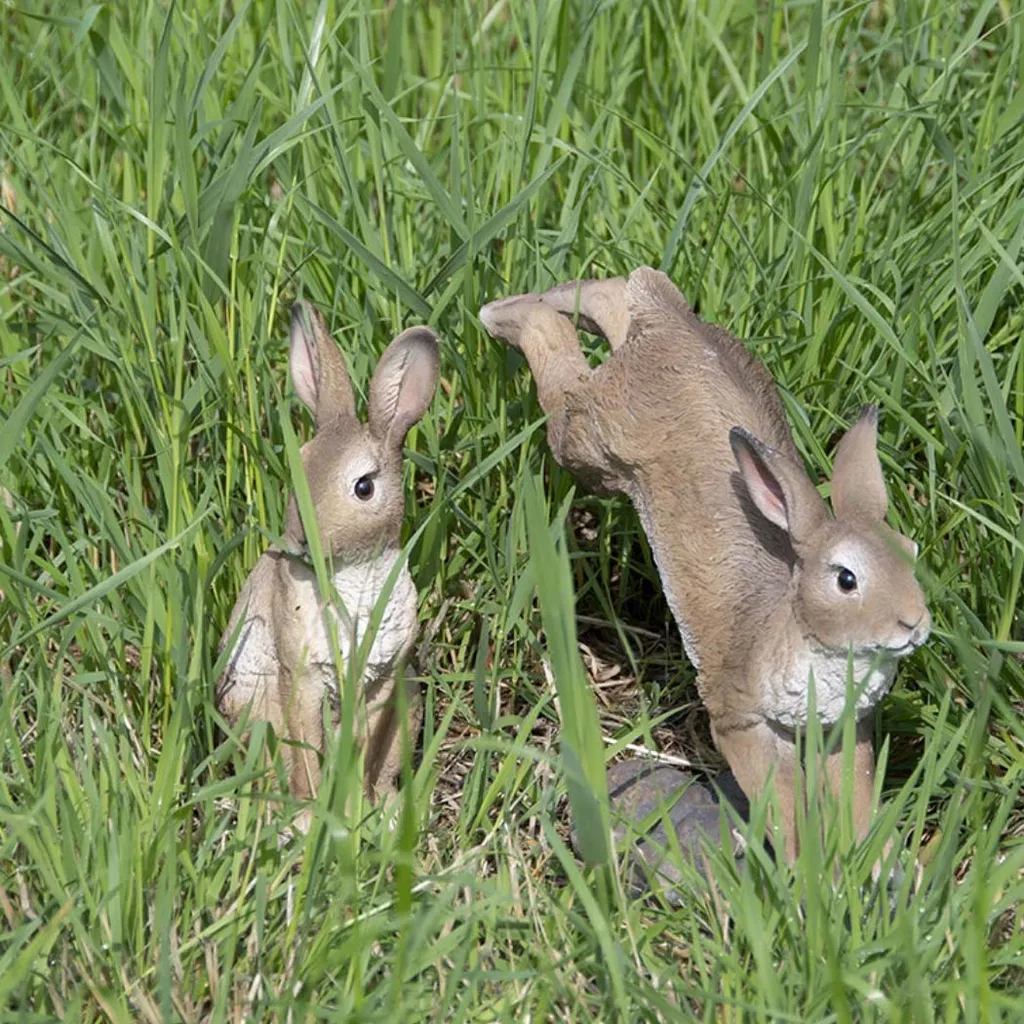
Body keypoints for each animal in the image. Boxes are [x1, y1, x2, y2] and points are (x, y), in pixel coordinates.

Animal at [216, 301, 439, 828]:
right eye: (300, 464)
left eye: (364, 486)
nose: (301, 540)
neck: (351, 571)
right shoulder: (302, 678)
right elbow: (308, 753)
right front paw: (314, 816)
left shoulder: (384, 682)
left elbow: (365, 749)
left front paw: (361, 809)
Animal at [479, 267, 930, 864]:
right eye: (846, 578)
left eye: (913, 552)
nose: (913, 623)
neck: (791, 625)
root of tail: (664, 316)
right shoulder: (739, 720)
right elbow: (783, 806)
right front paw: (803, 873)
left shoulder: (845, 728)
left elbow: (853, 798)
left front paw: (872, 866)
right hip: (590, 442)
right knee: (560, 371)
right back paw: (504, 312)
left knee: (613, 298)